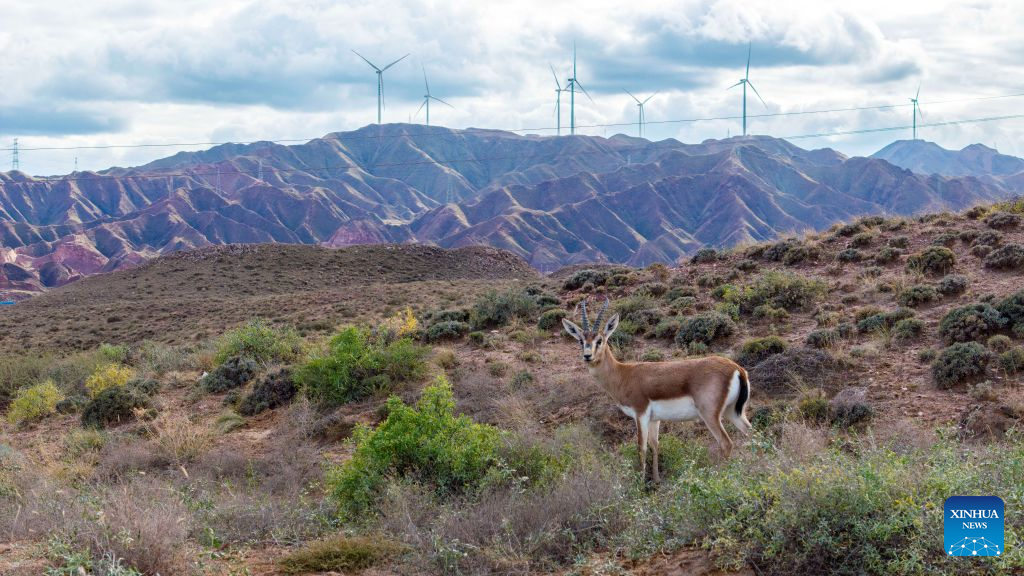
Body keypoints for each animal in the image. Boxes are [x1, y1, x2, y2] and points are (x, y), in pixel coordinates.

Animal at [562, 298, 752, 483]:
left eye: (599, 340)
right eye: (581, 341)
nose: (587, 356)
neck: (623, 374)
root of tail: (736, 368)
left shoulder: (640, 414)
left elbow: (641, 447)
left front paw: (641, 485)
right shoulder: (655, 419)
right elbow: (655, 445)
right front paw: (657, 481)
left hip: (710, 415)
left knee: (726, 443)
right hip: (731, 412)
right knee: (751, 433)